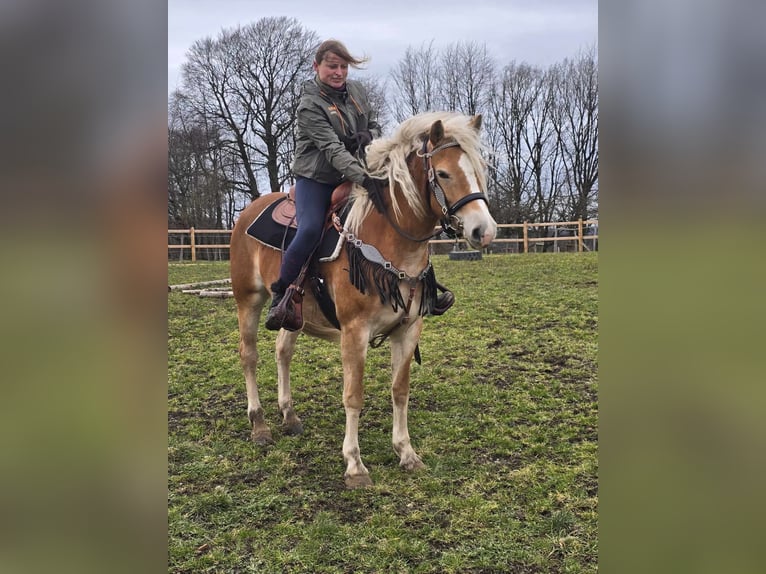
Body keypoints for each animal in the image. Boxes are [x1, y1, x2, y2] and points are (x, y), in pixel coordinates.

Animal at [228, 111, 500, 490]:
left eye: (478, 170)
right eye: (444, 173)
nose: (483, 231)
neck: (387, 243)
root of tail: (247, 211)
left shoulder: (409, 329)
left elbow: (400, 390)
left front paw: (406, 453)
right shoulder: (355, 332)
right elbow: (353, 395)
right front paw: (355, 465)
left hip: (293, 313)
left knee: (283, 352)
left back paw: (290, 416)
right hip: (248, 300)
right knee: (249, 355)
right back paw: (260, 424)